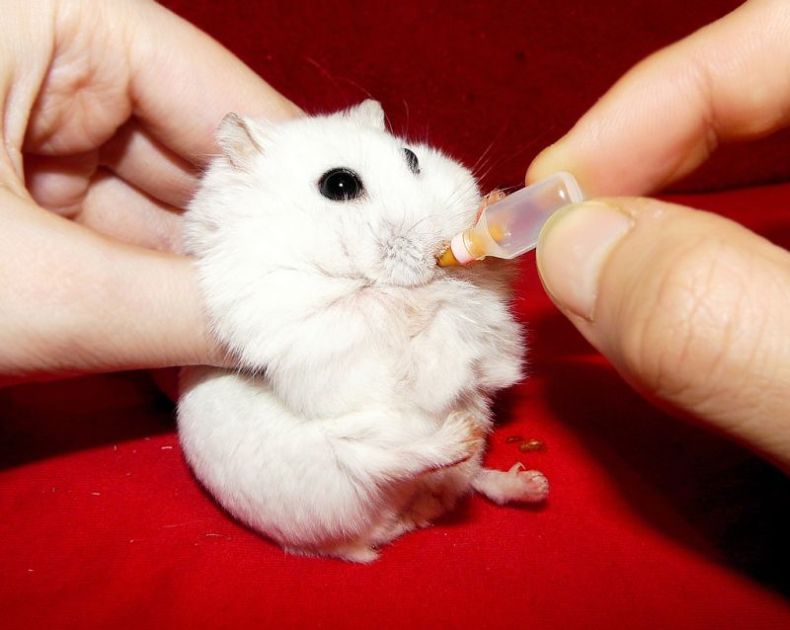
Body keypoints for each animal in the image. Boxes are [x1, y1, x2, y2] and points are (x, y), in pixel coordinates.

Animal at [179, 101, 552, 564]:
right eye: (339, 184)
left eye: (412, 157)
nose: (440, 248)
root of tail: (396, 522)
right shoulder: (294, 313)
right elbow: (378, 303)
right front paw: (432, 289)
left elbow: (494, 282)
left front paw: (492, 210)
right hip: (330, 462)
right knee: (382, 461)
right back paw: (455, 437)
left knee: (467, 479)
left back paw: (529, 484)